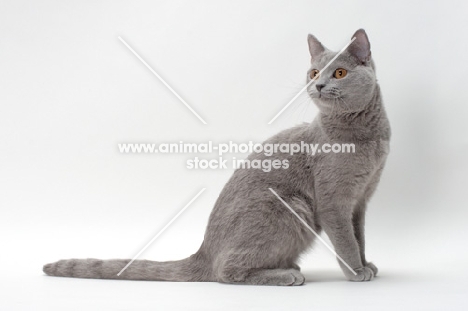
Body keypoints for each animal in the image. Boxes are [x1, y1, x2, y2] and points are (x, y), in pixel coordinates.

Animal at [43, 29, 392, 288]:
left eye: (340, 72)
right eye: (314, 72)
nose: (318, 85)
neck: (366, 137)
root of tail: (204, 251)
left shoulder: (362, 199)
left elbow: (358, 237)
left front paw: (366, 264)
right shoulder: (333, 202)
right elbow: (345, 241)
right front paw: (356, 272)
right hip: (292, 207)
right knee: (226, 271)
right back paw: (286, 275)